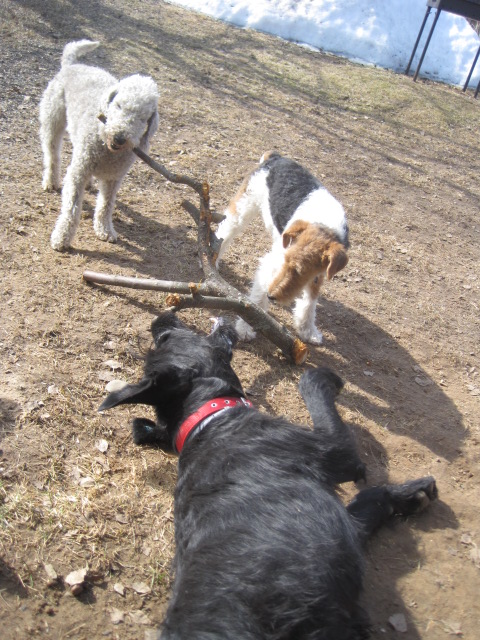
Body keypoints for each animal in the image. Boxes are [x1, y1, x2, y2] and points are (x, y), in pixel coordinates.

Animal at [39, 40, 159, 251]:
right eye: (118, 105)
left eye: (143, 118)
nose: (119, 137)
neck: (107, 150)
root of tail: (71, 64)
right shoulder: (78, 172)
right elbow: (71, 208)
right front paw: (62, 237)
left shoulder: (114, 178)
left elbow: (106, 205)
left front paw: (105, 230)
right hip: (52, 120)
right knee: (52, 154)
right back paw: (51, 181)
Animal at [99, 312, 438, 640]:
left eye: (162, 338)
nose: (160, 320)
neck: (209, 418)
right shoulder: (334, 451)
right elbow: (315, 391)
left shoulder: (348, 532)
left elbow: (368, 504)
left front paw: (409, 496)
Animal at [216, 152, 349, 344]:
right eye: (286, 262)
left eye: (301, 271)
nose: (271, 296)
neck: (324, 225)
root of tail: (275, 157)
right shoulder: (272, 263)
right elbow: (256, 300)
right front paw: (246, 328)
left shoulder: (319, 274)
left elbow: (310, 302)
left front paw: (308, 331)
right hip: (244, 207)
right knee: (224, 232)